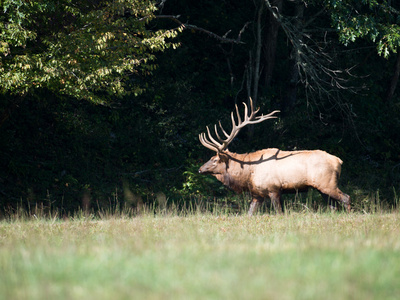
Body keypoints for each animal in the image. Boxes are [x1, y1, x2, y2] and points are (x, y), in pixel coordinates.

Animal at [198, 99, 350, 214]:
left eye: (215, 160)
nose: (200, 169)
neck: (247, 173)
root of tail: (339, 161)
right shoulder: (257, 194)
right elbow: (249, 213)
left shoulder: (274, 189)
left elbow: (279, 213)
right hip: (322, 187)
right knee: (333, 205)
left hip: (328, 183)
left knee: (346, 198)